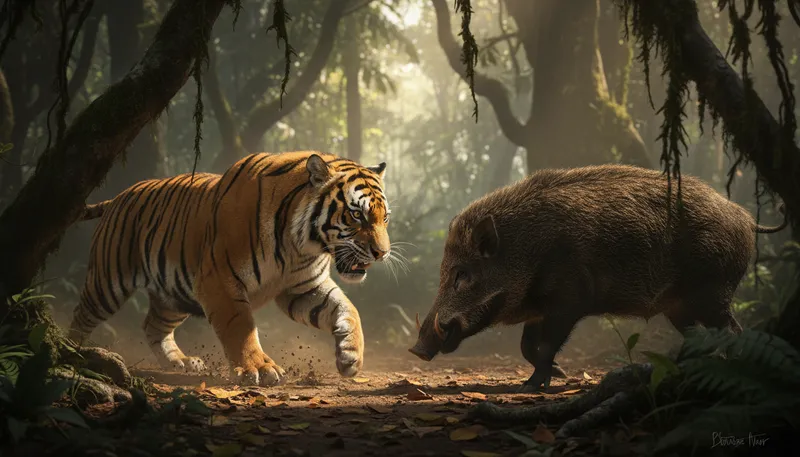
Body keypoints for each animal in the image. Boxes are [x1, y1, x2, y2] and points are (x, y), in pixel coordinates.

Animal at [67, 151, 392, 386]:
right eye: (356, 215)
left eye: (384, 217)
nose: (382, 253)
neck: (301, 245)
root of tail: (120, 195)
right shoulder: (220, 280)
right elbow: (240, 326)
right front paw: (258, 369)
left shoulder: (303, 288)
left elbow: (348, 309)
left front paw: (351, 356)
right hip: (108, 281)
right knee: (82, 314)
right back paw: (72, 351)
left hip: (173, 295)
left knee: (152, 325)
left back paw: (180, 361)